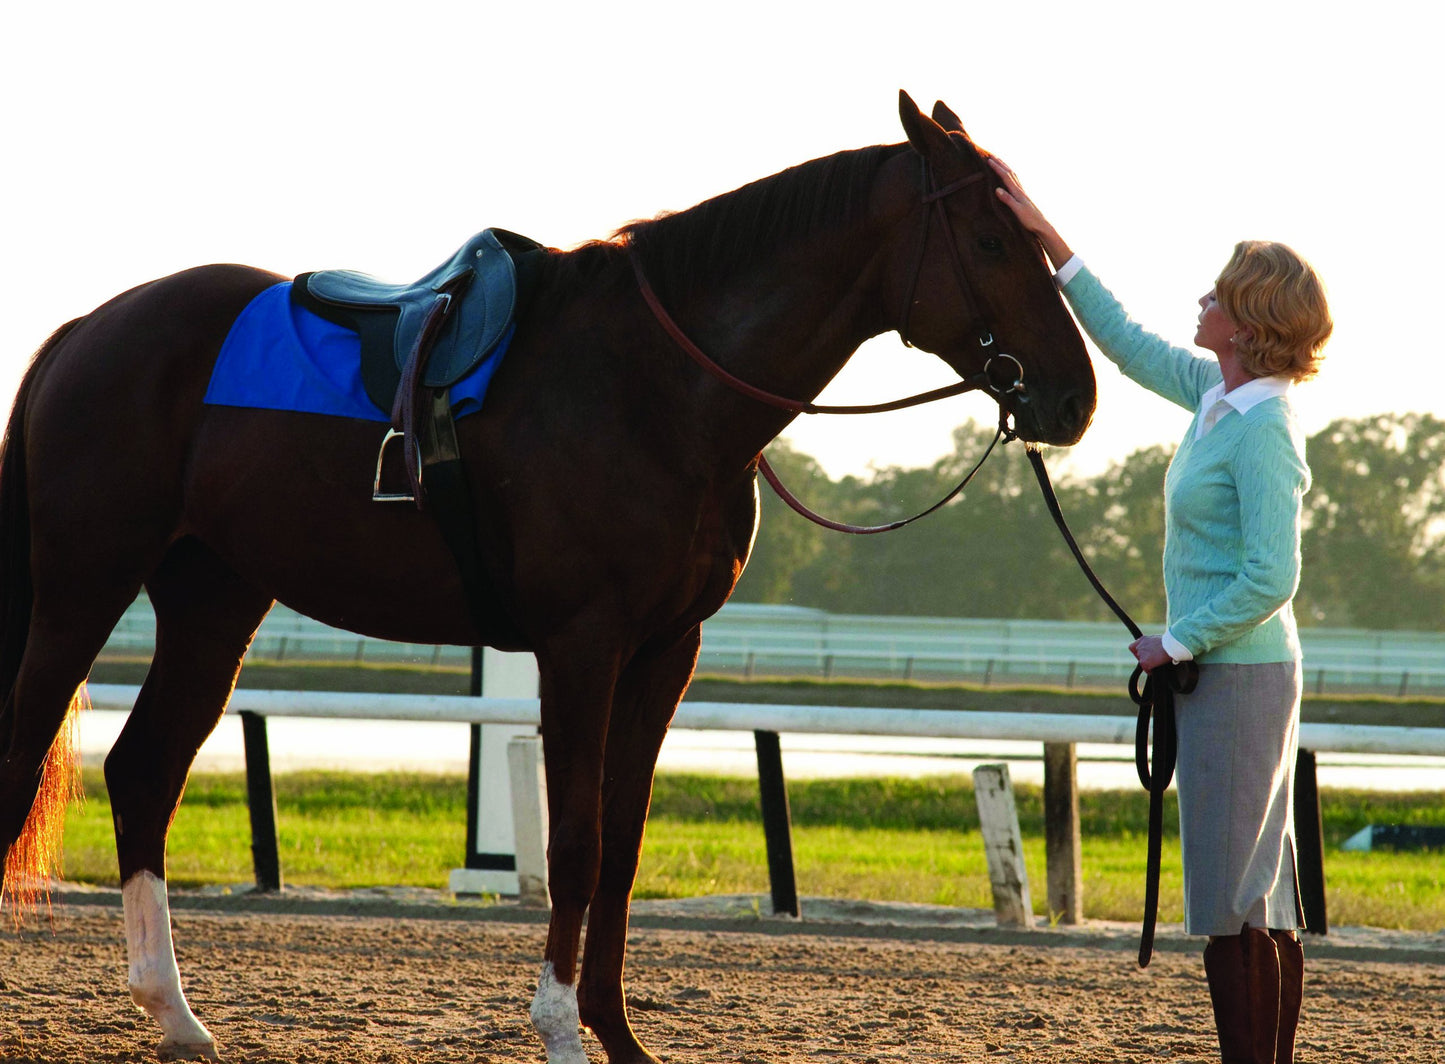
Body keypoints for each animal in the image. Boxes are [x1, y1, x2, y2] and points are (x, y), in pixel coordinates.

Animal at [0, 93, 1092, 1064]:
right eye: (988, 240)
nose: (1074, 397)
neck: (659, 386)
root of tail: (90, 326)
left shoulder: (665, 649)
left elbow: (621, 841)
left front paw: (617, 1033)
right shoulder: (582, 643)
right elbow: (575, 839)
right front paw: (562, 1028)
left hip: (213, 599)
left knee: (145, 773)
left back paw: (176, 1015)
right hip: (81, 587)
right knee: (27, 757)